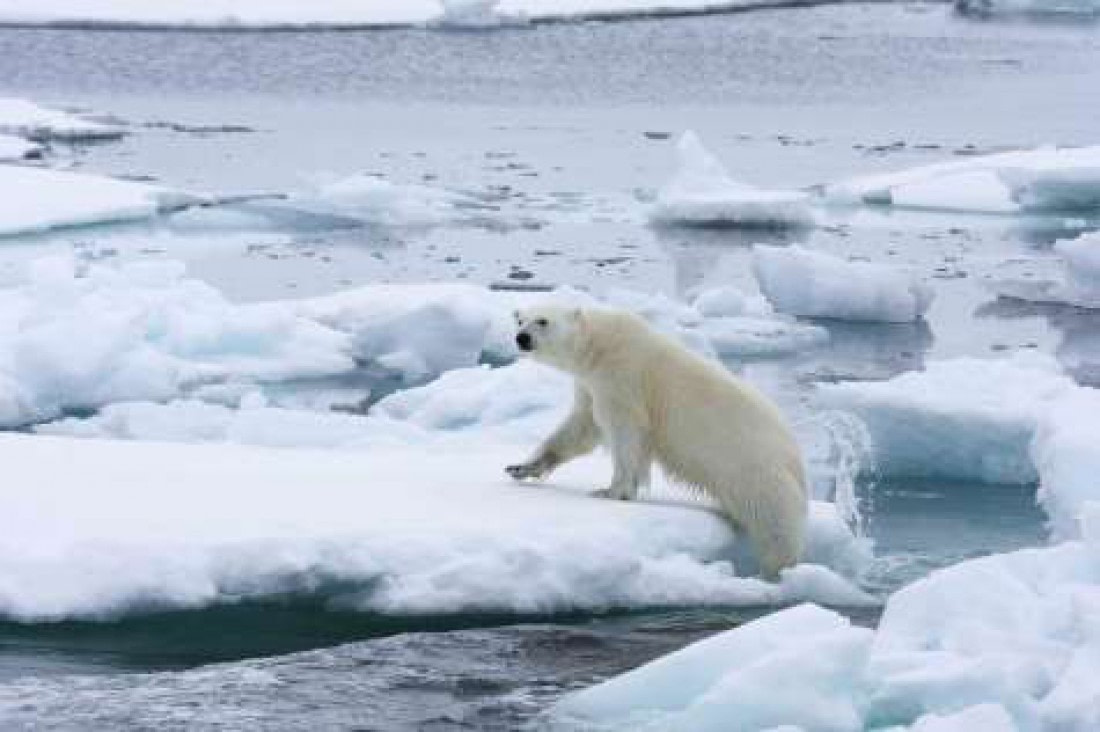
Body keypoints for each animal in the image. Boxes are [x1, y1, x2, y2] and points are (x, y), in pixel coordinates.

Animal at [506, 305, 808, 579]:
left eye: (542, 320)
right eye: (520, 319)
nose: (522, 338)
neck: (599, 344)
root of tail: (796, 459)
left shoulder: (622, 376)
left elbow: (624, 433)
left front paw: (612, 492)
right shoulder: (591, 384)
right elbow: (581, 426)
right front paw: (522, 467)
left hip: (756, 469)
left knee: (775, 526)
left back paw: (774, 571)